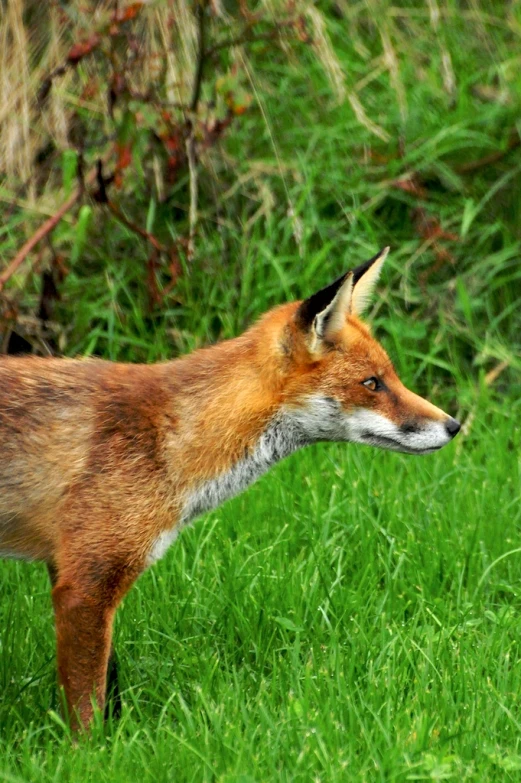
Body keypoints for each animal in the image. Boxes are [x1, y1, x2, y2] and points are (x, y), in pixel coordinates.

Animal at [0, 247, 460, 728]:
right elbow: (87, 705)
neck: (173, 439)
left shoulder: (69, 566)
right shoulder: (87, 582)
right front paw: (93, 748)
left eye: (392, 376)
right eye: (372, 383)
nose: (454, 425)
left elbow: (109, 682)